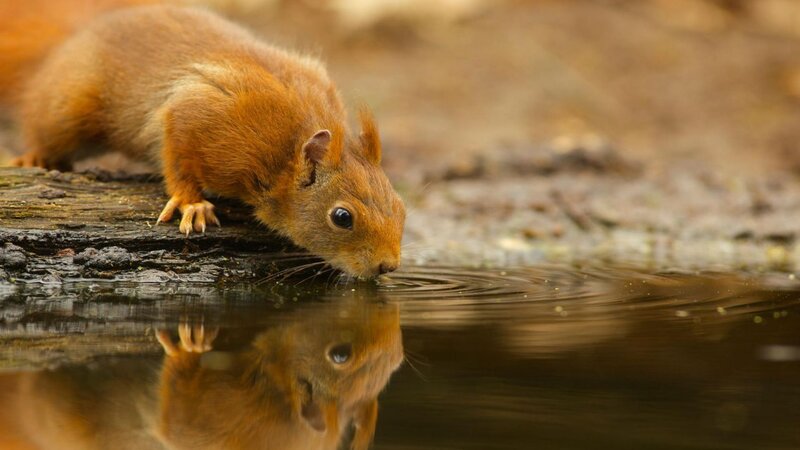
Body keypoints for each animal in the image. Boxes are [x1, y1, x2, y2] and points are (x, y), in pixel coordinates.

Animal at [1, 3, 405, 278]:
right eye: (342, 217)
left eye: (401, 207)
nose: (388, 266)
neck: (285, 155)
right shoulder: (199, 114)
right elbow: (178, 154)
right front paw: (190, 202)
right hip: (68, 109)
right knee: (44, 128)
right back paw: (34, 158)